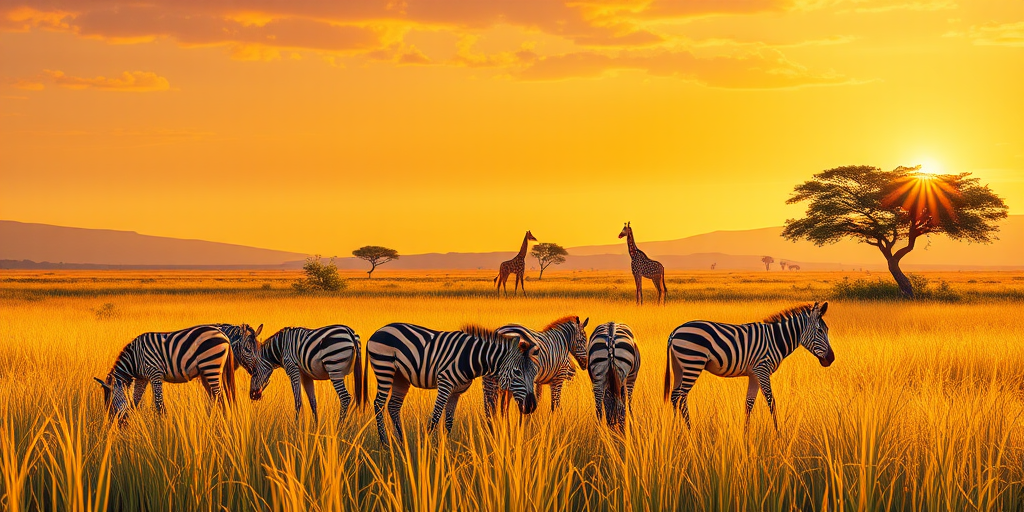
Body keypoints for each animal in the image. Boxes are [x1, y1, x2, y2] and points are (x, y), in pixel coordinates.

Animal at [93, 325, 236, 422]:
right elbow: (134, 401)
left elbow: (158, 403)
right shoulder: (142, 379)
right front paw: (131, 420)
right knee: (217, 397)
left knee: (220, 397)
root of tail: (223, 335)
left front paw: (163, 425)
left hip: (211, 366)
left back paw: (218, 421)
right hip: (206, 371)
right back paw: (214, 420)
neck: (134, 359)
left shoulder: (155, 373)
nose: (113, 423)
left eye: (110, 403)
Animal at [366, 323, 540, 446]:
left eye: (534, 373)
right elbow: (435, 417)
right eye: (517, 372)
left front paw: (446, 450)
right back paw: (385, 443)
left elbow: (449, 422)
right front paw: (426, 448)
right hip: (384, 367)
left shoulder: (456, 391)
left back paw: (401, 443)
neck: (471, 358)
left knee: (393, 405)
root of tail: (379, 330)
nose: (532, 406)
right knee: (379, 403)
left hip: (400, 376)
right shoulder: (445, 383)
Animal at [664, 302, 835, 432]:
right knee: (681, 397)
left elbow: (749, 404)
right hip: (693, 363)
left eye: (827, 330)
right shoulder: (762, 368)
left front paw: (745, 434)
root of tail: (675, 332)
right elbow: (771, 401)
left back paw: (675, 430)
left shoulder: (754, 374)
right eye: (820, 330)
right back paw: (689, 431)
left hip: (679, 367)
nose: (831, 359)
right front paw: (779, 434)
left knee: (674, 395)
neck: (775, 339)